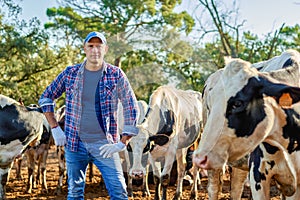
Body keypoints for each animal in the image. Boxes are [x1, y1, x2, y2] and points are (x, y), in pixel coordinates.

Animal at [192, 54, 300, 199]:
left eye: (237, 103)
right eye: (211, 104)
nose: (199, 157)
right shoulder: (257, 173)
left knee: (236, 189)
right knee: (214, 188)